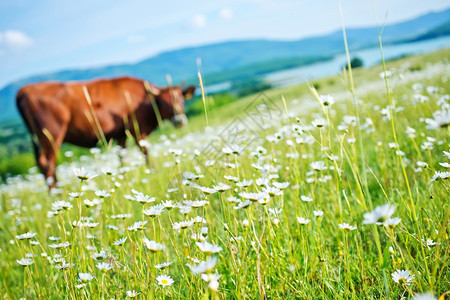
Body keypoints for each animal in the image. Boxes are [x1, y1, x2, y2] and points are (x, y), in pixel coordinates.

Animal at [16, 75, 195, 188]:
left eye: (181, 100)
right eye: (163, 103)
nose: (180, 120)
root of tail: (24, 89)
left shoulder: (121, 135)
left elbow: (122, 157)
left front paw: (123, 177)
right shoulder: (137, 131)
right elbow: (145, 153)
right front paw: (153, 172)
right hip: (51, 135)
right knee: (48, 165)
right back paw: (57, 194)